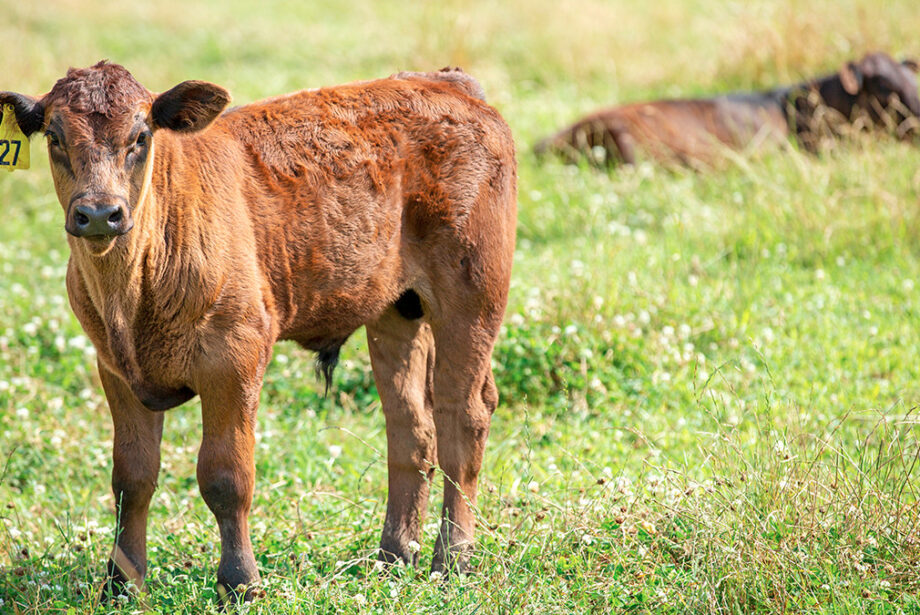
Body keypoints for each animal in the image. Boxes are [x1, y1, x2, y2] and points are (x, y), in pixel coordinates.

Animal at [0, 61, 517, 602]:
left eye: (141, 136)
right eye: (55, 136)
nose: (100, 213)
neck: (135, 291)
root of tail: (446, 82)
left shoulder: (235, 360)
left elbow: (226, 477)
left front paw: (240, 581)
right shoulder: (117, 371)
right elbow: (131, 479)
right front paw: (121, 584)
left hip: (471, 301)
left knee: (463, 419)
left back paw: (453, 559)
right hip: (396, 312)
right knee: (412, 428)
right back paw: (394, 556)